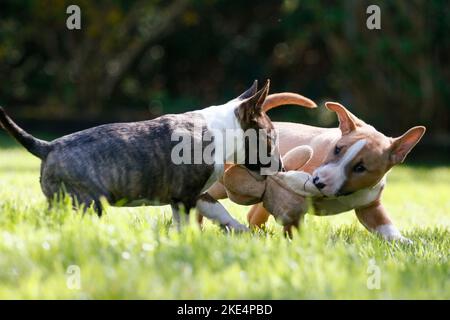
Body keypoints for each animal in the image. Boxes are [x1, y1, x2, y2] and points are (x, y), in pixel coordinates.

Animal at [207, 97, 426, 242]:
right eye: (337, 148)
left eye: (361, 168)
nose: (318, 182)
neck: (344, 194)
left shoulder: (370, 207)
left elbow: (385, 226)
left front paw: (404, 242)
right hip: (221, 184)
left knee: (255, 214)